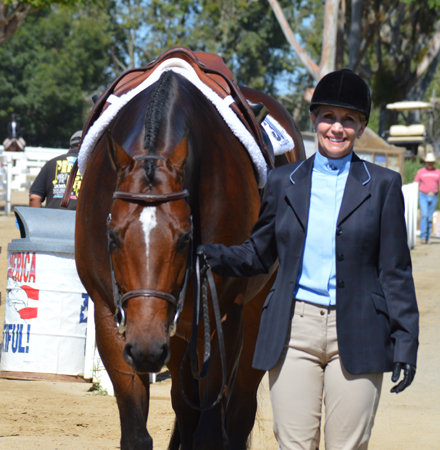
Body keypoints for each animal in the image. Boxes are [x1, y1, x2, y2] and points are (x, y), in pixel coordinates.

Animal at [74, 49, 304, 450]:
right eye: (113, 236)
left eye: (185, 237)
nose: (146, 348)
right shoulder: (109, 314)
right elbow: (137, 433)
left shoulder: (222, 318)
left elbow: (210, 432)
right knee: (186, 408)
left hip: (248, 319)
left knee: (238, 411)